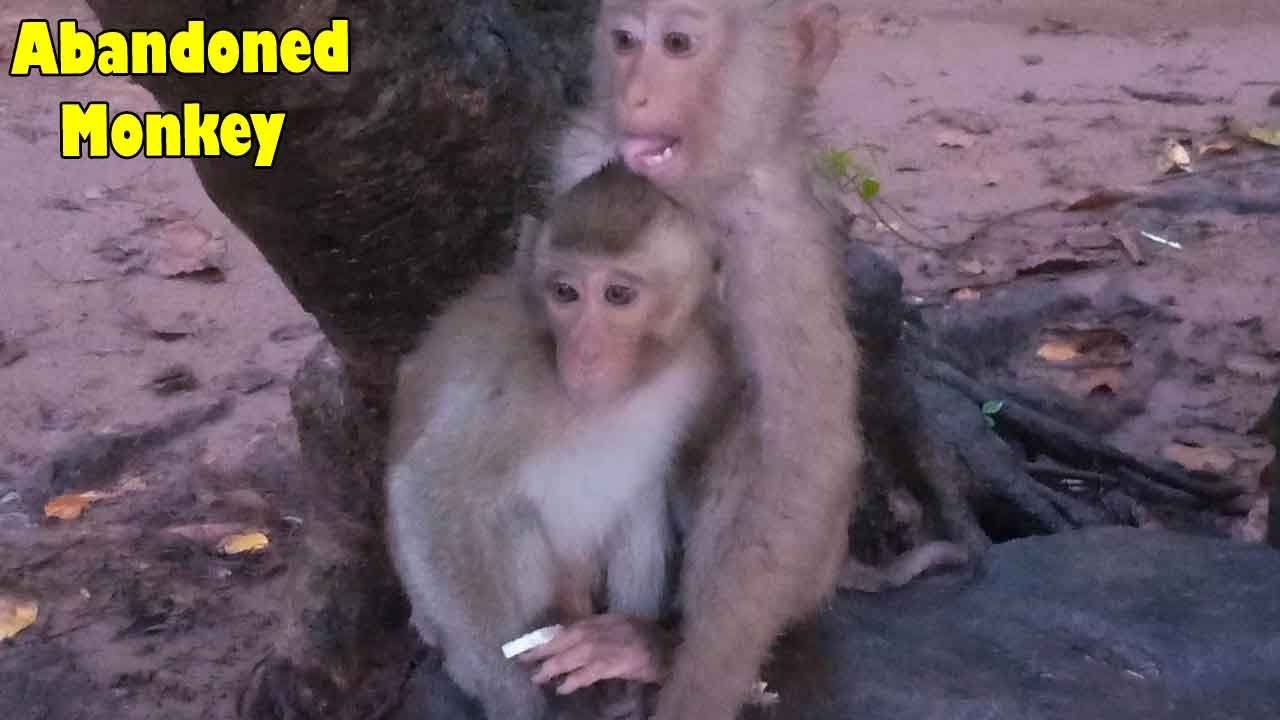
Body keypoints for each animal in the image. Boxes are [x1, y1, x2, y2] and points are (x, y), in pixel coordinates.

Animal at [385, 161, 736, 720]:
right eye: (564, 293)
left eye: (618, 295)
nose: (585, 352)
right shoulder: (509, 380)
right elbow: (428, 493)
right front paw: (517, 700)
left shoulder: (706, 356)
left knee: (640, 499)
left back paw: (620, 673)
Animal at [547, 2, 866, 718]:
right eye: (625, 42)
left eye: (677, 44)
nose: (635, 94)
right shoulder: (578, 160)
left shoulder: (776, 240)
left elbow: (804, 450)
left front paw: (695, 688)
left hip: (810, 578)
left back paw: (655, 646)